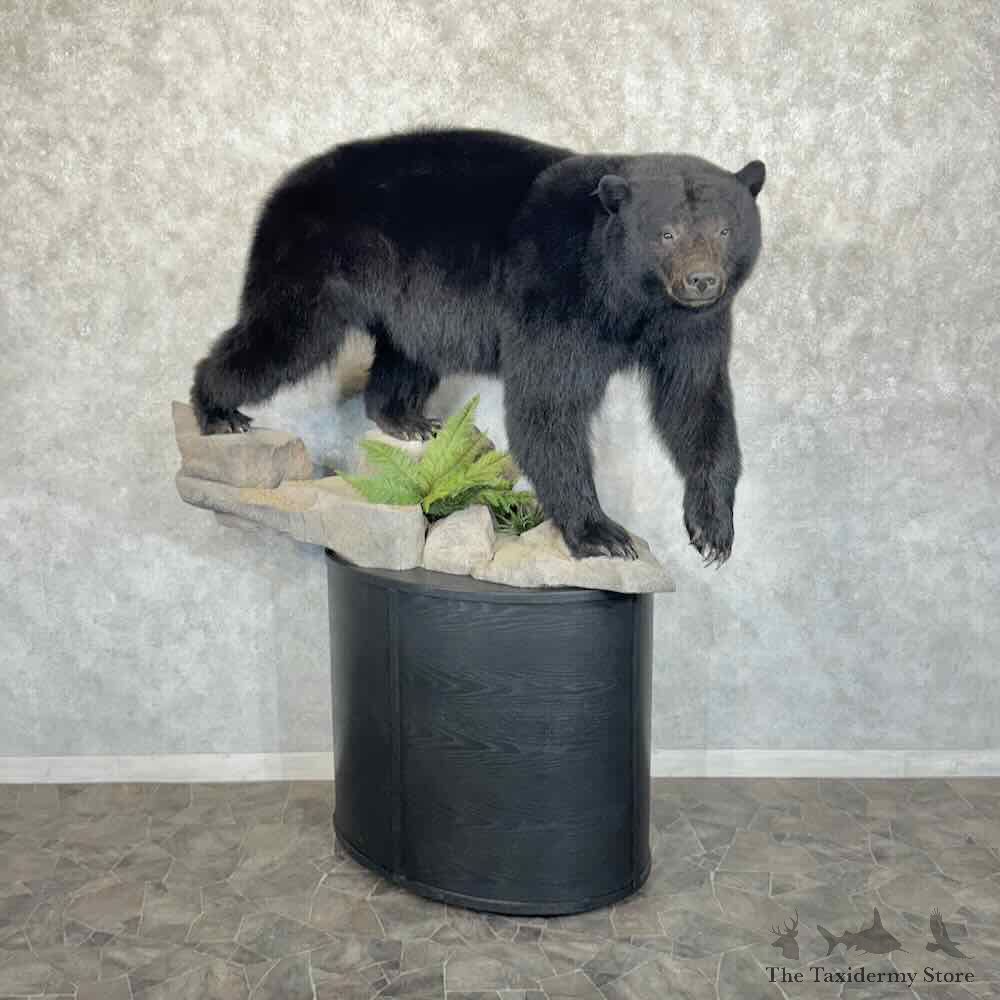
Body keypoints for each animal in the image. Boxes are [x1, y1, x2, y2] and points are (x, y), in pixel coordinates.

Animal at [190, 128, 765, 563]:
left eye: (723, 229)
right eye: (667, 233)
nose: (701, 280)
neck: (628, 297)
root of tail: (287, 183)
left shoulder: (695, 326)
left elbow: (694, 400)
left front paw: (713, 527)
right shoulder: (554, 290)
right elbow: (548, 404)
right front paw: (600, 532)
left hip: (408, 301)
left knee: (406, 356)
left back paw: (406, 419)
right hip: (315, 261)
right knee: (283, 337)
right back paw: (216, 409)